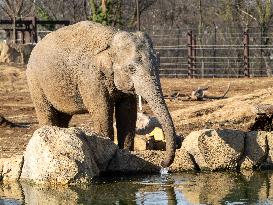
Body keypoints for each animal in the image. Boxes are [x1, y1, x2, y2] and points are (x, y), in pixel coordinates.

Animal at [26, 21, 176, 167]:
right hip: (35, 82)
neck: (112, 40)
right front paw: (107, 154)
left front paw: (126, 154)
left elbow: (128, 112)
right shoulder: (90, 78)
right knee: (46, 111)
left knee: (63, 115)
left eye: (158, 64)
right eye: (131, 68)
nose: (163, 164)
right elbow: (102, 110)